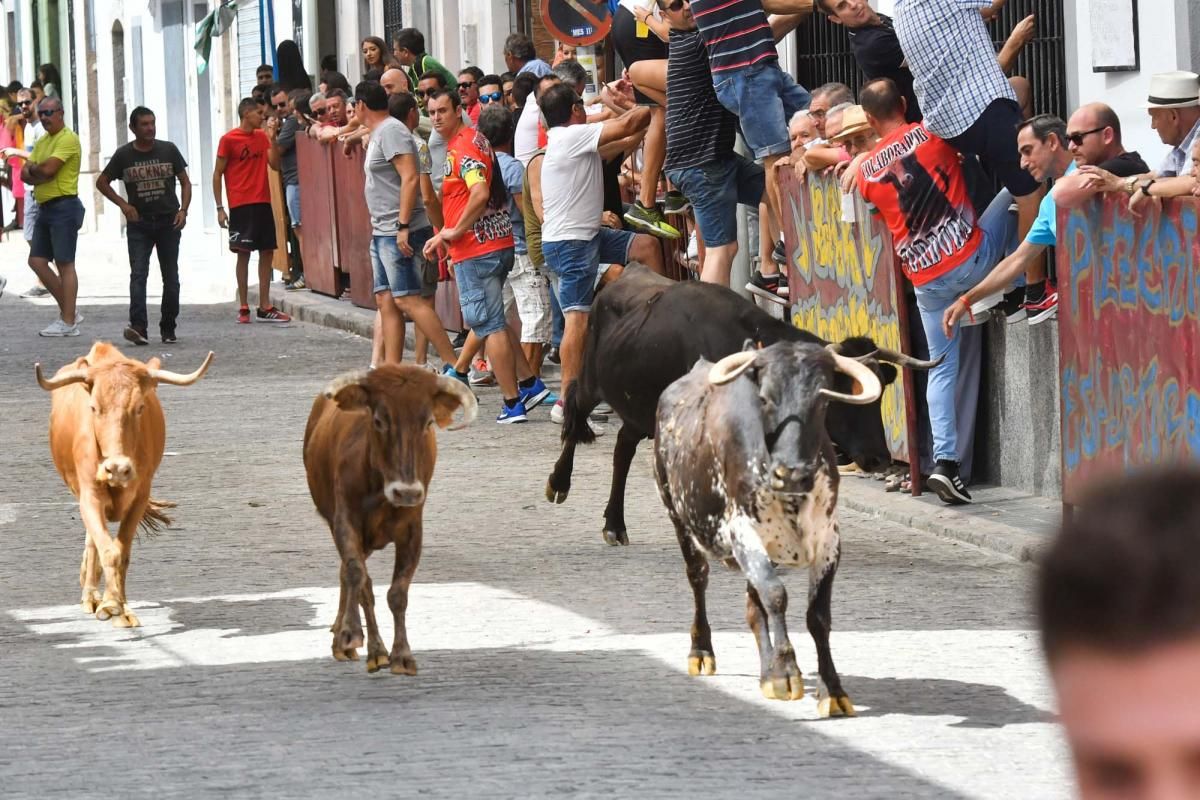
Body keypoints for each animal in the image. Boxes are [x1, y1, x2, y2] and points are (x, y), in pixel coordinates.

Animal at [36, 340, 216, 628]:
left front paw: (120, 606)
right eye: (94, 408)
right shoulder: (89, 497)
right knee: (93, 541)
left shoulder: (140, 498)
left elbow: (123, 552)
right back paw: (90, 594)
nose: (118, 469)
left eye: (140, 407)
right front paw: (109, 603)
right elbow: (108, 550)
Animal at [302, 367, 480, 671]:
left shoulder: (412, 532)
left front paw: (402, 655)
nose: (406, 492)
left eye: (428, 422)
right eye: (378, 420)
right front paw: (354, 637)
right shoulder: (345, 521)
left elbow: (397, 594)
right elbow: (358, 578)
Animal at [547, 268, 936, 544]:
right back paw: (559, 483)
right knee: (576, 409)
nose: (879, 458)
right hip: (592, 382)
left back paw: (614, 524)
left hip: (638, 411)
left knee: (623, 448)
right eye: (841, 398)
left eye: (880, 397)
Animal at [652, 340, 878, 714]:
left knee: (752, 606)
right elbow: (775, 596)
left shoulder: (829, 541)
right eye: (765, 398)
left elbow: (817, 616)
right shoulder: (742, 532)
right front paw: (787, 672)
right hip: (677, 514)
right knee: (699, 577)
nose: (792, 473)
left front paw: (831, 689)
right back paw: (702, 652)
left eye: (822, 400)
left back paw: (765, 675)